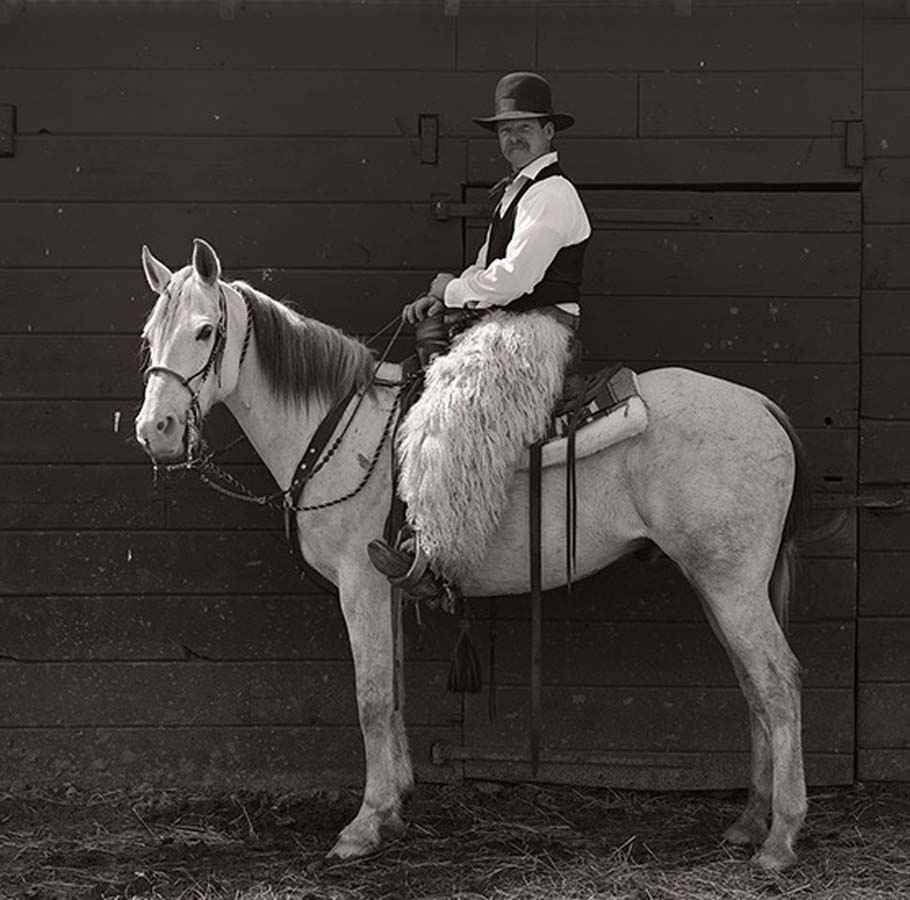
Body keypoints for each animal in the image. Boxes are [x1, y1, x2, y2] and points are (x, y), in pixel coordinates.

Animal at [134, 239, 804, 872]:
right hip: (720, 584)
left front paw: (363, 827)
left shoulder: (359, 585)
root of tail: (760, 407)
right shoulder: (387, 589)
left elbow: (370, 698)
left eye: (205, 330)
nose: (154, 430)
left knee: (779, 683)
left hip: (732, 584)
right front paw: (393, 808)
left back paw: (781, 839)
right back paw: (750, 822)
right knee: (753, 688)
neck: (340, 430)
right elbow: (393, 694)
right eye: (148, 336)